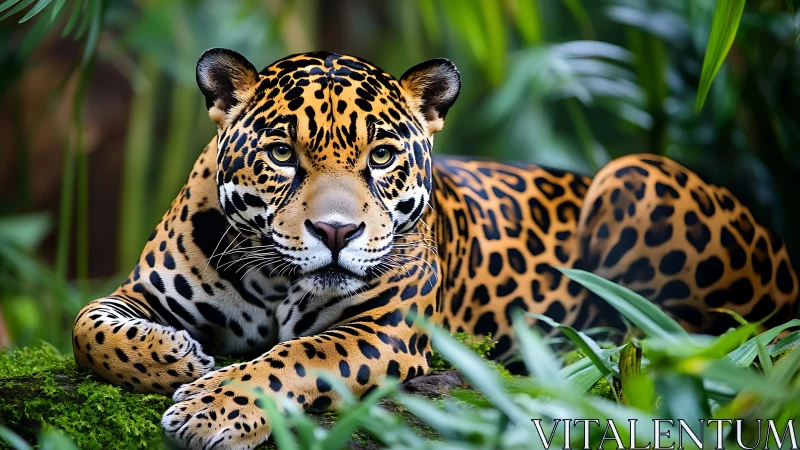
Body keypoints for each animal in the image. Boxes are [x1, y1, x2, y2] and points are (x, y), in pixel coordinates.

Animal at [71, 49, 799, 449]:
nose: (335, 233)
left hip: (634, 176)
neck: (278, 283)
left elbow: (294, 358)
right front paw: (174, 357)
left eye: (381, 156)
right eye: (281, 155)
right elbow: (90, 326)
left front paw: (213, 408)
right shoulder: (145, 289)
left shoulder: (386, 327)